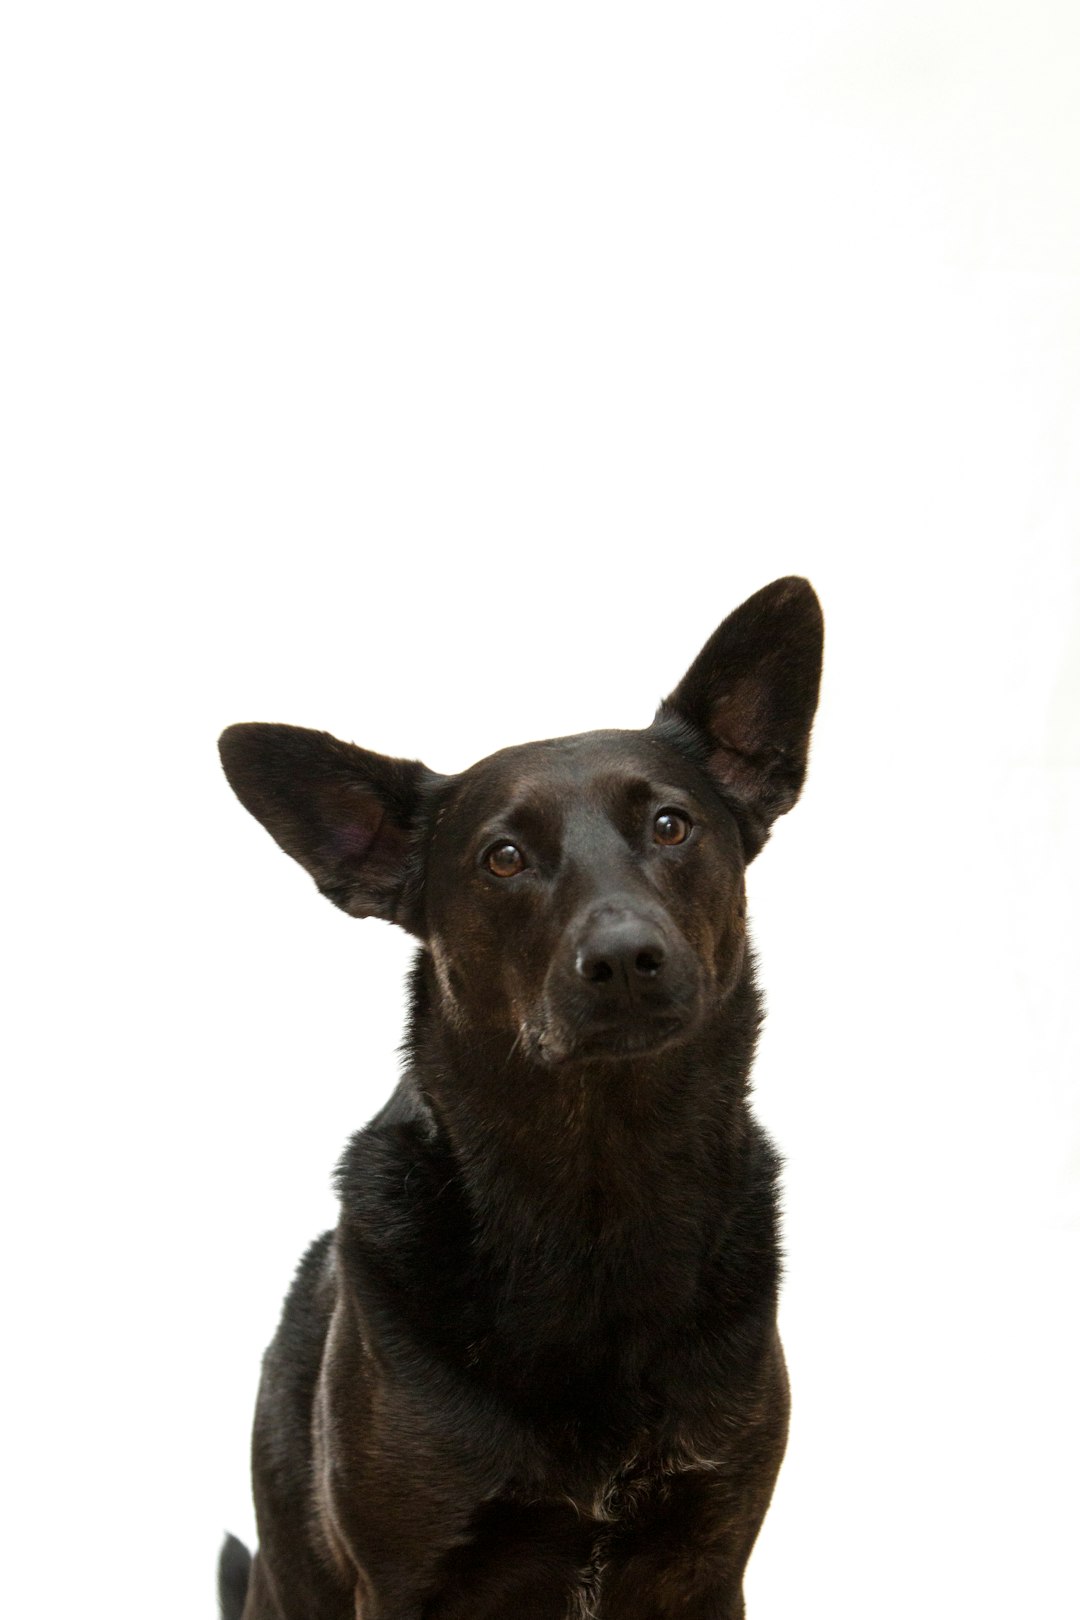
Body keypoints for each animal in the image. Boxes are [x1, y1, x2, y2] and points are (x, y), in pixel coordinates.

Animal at [220, 576, 829, 1613]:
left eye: (671, 825)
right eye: (503, 858)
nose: (624, 959)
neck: (598, 1197)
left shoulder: (709, 1561)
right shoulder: (406, 1578)